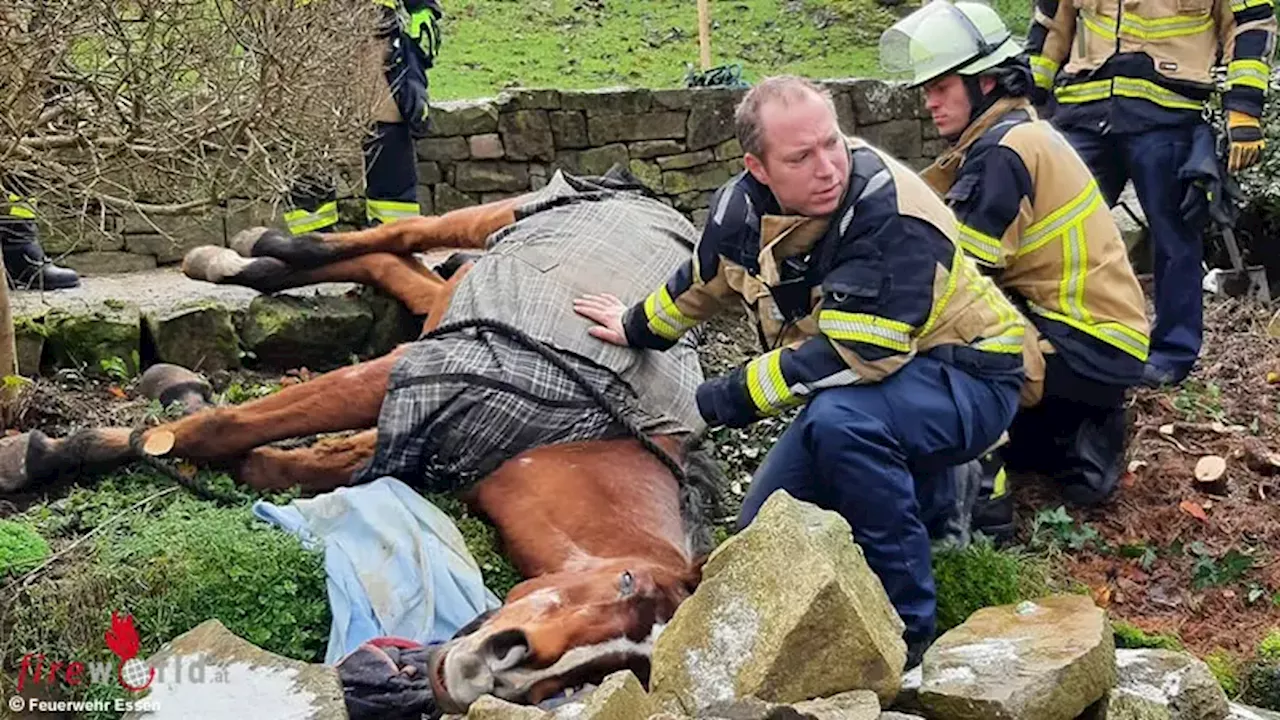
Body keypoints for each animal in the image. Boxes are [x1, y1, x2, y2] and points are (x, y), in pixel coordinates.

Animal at [0, 170, 721, 707]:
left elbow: (267, 462)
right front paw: (43, 453)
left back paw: (240, 267)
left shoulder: (403, 428)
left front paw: (170, 413)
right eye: (624, 581)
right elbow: (224, 425)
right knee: (397, 234)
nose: (493, 670)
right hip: (497, 215)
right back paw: (244, 250)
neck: (586, 431)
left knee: (397, 269)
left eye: (601, 675)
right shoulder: (406, 373)